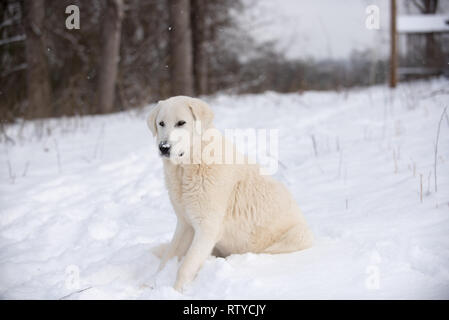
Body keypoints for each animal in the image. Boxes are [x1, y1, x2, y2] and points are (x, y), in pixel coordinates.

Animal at [147, 95, 312, 290]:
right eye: (161, 123)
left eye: (181, 123)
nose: (163, 147)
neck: (187, 167)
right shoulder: (185, 224)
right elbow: (167, 259)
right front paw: (151, 286)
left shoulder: (207, 227)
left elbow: (185, 266)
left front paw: (175, 291)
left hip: (296, 235)